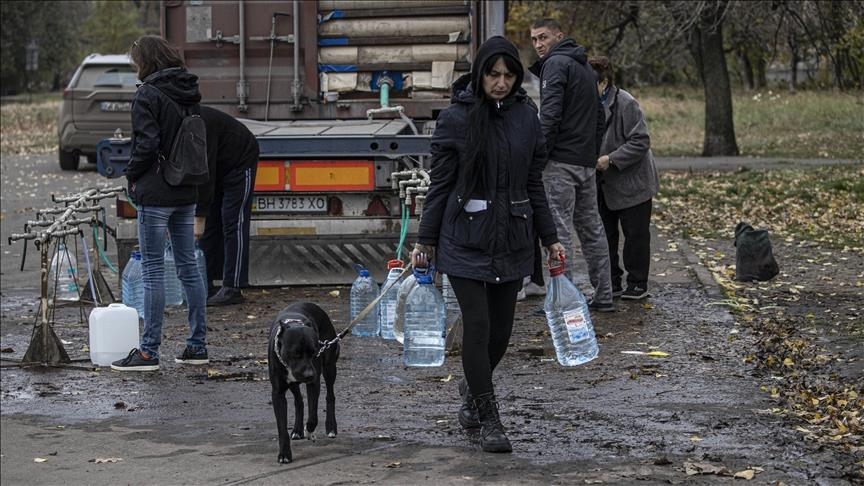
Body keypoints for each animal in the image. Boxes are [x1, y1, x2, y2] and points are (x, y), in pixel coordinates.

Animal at [268, 302, 339, 463]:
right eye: (296, 353)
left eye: (314, 352)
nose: (309, 374)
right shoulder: (278, 393)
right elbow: (282, 427)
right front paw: (284, 454)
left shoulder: (314, 383)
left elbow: (313, 416)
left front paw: (310, 430)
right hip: (294, 383)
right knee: (299, 401)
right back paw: (297, 429)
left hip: (329, 367)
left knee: (330, 396)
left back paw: (331, 427)